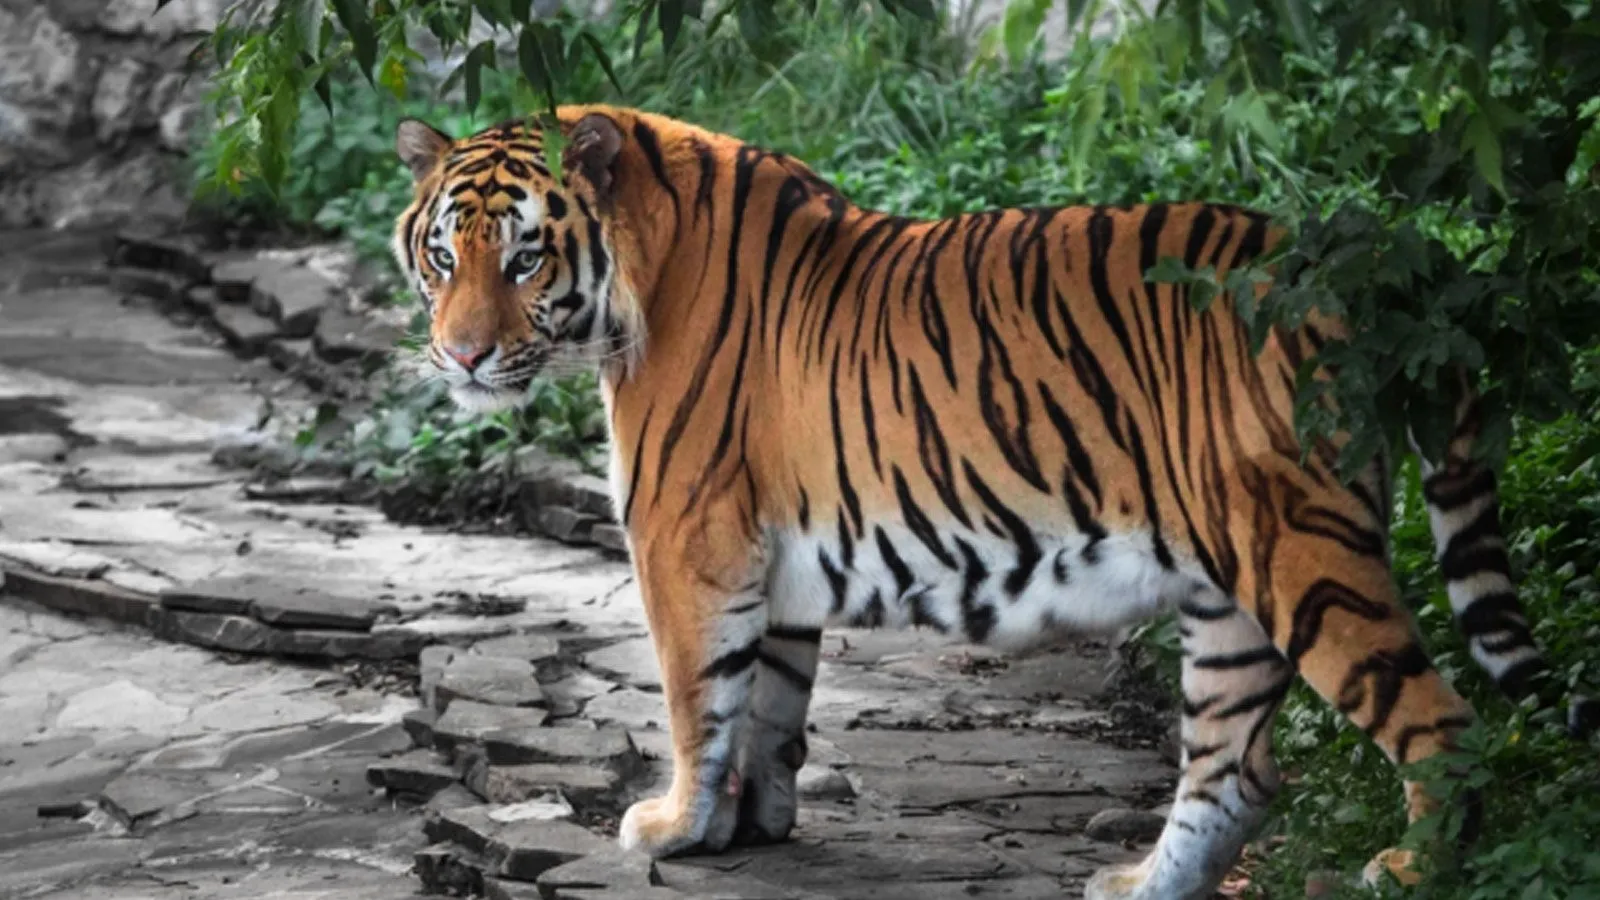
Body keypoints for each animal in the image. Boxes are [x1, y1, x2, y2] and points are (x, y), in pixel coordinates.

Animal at [390, 106, 1600, 896]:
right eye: (443, 255)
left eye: (527, 258)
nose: (461, 358)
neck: (632, 279)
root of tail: (1361, 269)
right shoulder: (770, 554)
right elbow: (767, 701)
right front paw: (746, 826)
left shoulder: (684, 536)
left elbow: (700, 699)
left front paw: (674, 827)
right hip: (1231, 592)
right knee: (1238, 768)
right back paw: (1137, 884)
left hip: (1302, 551)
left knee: (1438, 726)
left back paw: (1409, 869)